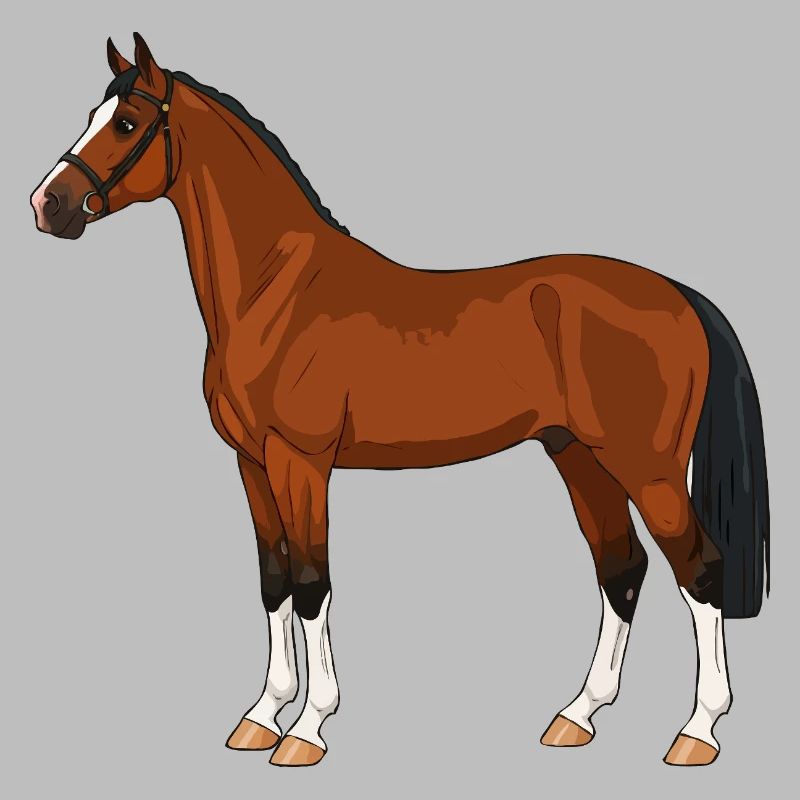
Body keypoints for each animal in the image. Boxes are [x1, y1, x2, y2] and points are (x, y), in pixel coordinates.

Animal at [30, 33, 769, 768]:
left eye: (126, 124)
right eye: (94, 116)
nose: (47, 204)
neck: (275, 292)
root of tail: (679, 294)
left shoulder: (301, 462)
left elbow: (311, 583)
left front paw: (306, 730)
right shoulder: (250, 464)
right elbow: (273, 582)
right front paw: (261, 717)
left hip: (647, 468)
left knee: (699, 570)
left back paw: (696, 733)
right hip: (578, 457)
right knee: (622, 570)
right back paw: (576, 716)